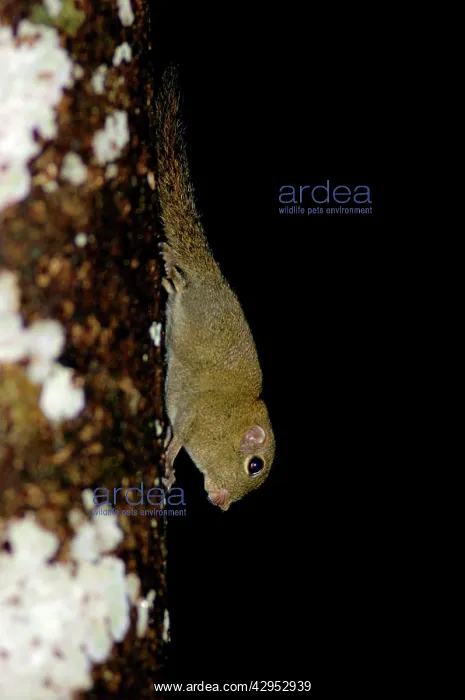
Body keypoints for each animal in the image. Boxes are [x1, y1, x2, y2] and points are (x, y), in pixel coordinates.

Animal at [154, 66, 275, 511]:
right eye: (254, 466)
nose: (222, 504)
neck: (230, 420)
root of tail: (214, 277)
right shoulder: (196, 417)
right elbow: (179, 436)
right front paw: (170, 461)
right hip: (196, 301)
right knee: (182, 287)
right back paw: (172, 271)